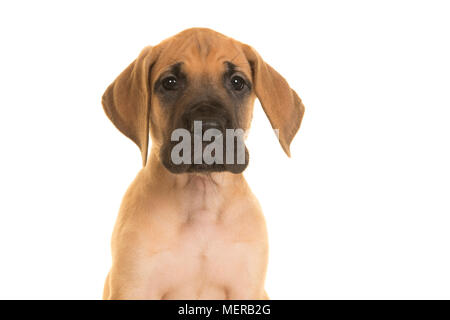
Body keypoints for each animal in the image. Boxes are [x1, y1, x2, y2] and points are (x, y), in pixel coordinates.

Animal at [102, 27, 306, 300]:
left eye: (237, 82)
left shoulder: (247, 288)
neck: (201, 196)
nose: (208, 128)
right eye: (170, 83)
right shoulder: (134, 287)